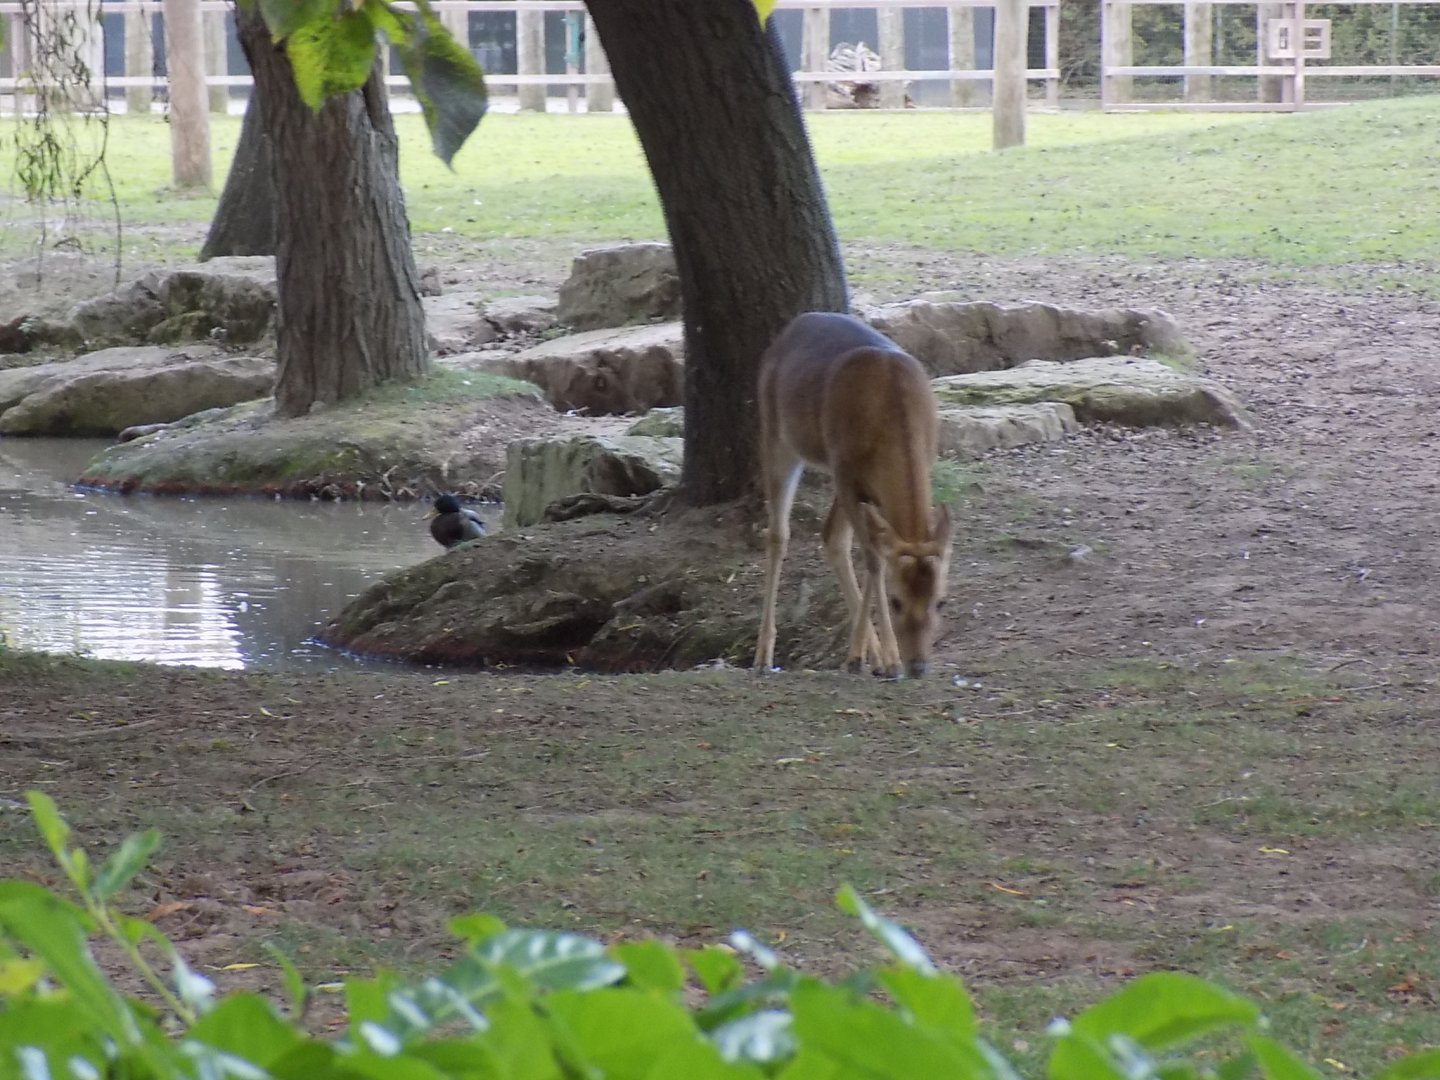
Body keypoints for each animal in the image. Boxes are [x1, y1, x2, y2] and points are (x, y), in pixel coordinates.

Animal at [753, 312, 954, 679]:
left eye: (941, 600)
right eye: (896, 600)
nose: (918, 666)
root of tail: (790, 328)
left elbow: (868, 550)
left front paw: (865, 657)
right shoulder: (845, 473)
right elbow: (873, 560)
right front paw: (889, 661)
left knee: (831, 535)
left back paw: (866, 655)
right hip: (776, 436)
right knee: (778, 535)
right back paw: (763, 657)